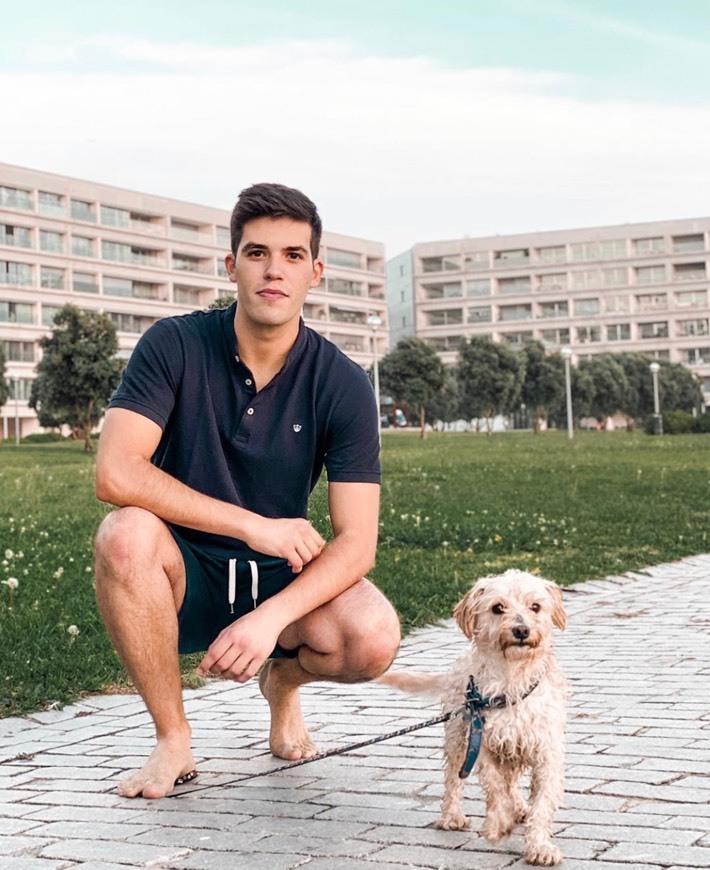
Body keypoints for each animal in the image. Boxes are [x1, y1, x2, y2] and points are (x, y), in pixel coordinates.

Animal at [382, 572, 572, 864]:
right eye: (498, 608)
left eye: (535, 607)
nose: (521, 630)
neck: (512, 681)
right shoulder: (482, 744)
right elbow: (495, 788)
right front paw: (498, 825)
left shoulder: (546, 753)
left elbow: (541, 804)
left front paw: (539, 846)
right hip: (458, 739)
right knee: (454, 780)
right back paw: (452, 816)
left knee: (511, 782)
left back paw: (520, 808)